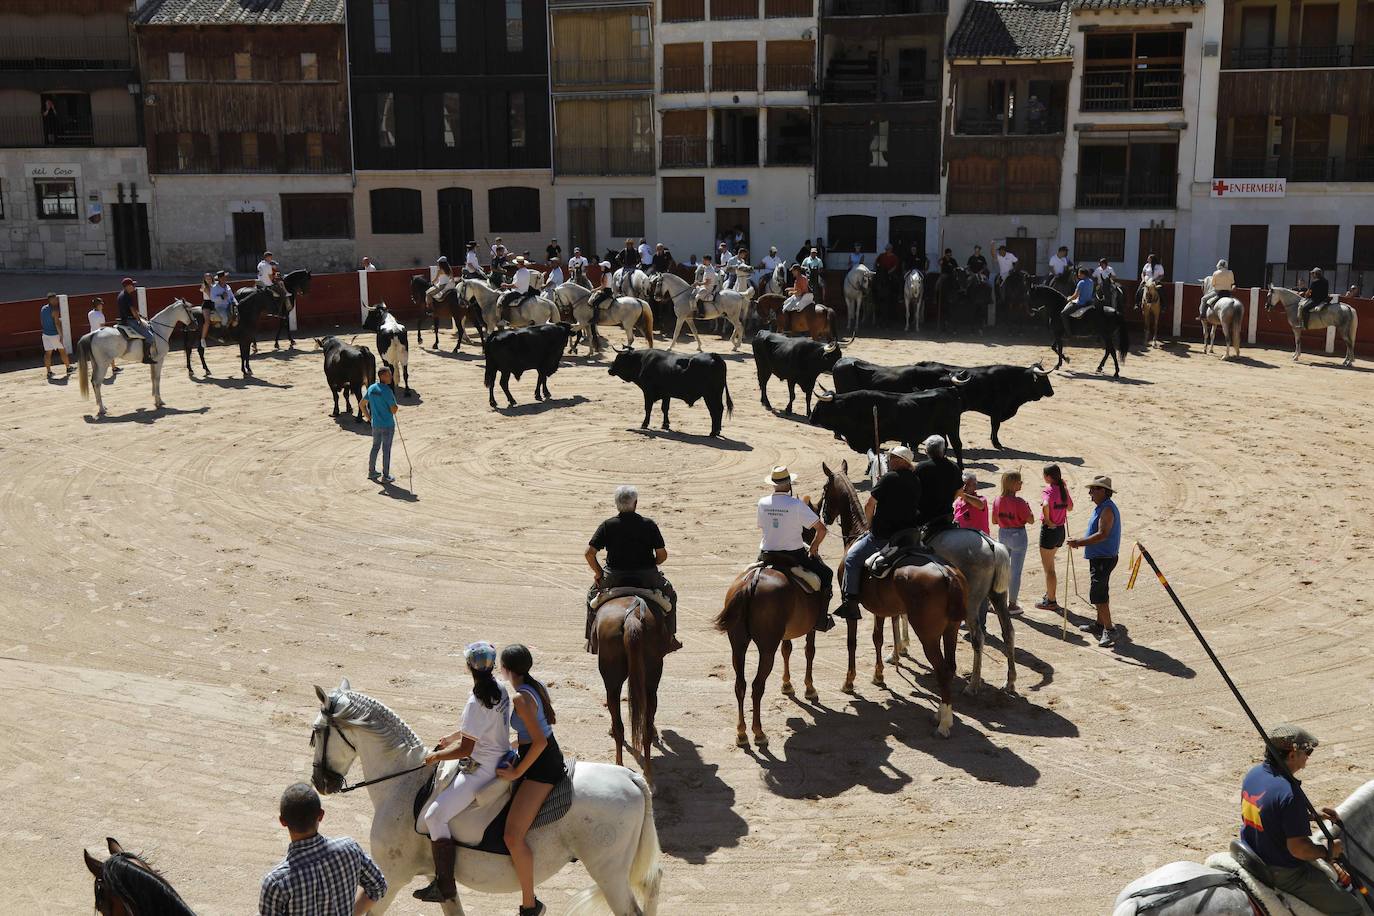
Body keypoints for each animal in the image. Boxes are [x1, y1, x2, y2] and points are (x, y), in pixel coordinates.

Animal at [310, 678, 659, 916]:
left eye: (316, 731)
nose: (319, 783)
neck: (404, 781)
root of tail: (629, 776)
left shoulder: (391, 876)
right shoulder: (442, 882)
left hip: (609, 873)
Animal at [593, 598, 667, 785]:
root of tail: (632, 618)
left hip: (611, 680)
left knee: (618, 723)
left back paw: (619, 767)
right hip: (651, 678)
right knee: (645, 725)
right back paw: (648, 775)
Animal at [818, 458, 972, 736]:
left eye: (826, 488)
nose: (823, 515)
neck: (857, 533)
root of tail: (947, 574)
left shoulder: (853, 608)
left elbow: (852, 643)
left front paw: (849, 681)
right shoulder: (881, 610)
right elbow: (878, 639)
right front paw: (879, 675)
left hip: (928, 634)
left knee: (942, 670)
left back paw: (944, 723)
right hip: (951, 629)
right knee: (950, 667)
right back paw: (941, 714)